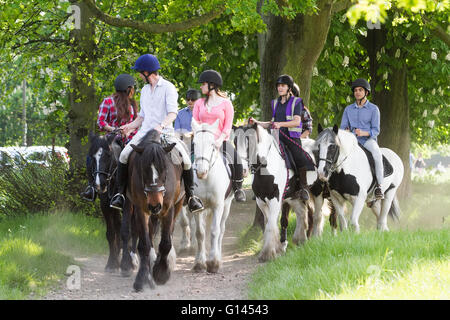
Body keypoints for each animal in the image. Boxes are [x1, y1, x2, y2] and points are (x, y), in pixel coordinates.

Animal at [126, 129, 185, 290]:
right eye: (143, 170)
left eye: (164, 169)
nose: (155, 205)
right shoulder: (141, 210)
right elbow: (144, 244)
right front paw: (142, 278)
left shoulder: (168, 209)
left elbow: (165, 243)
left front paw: (161, 273)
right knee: (151, 234)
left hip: (178, 205)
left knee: (169, 232)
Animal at [190, 119, 234, 274]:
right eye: (194, 143)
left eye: (212, 144)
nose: (201, 171)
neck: (207, 178)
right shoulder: (197, 208)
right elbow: (200, 233)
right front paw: (199, 263)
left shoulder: (217, 206)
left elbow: (215, 231)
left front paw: (213, 263)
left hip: (227, 206)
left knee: (221, 230)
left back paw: (218, 257)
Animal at [232, 122, 320, 260]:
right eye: (235, 141)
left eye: (250, 141)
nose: (243, 170)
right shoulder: (261, 201)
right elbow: (269, 223)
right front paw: (277, 248)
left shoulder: (276, 199)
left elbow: (272, 225)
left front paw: (268, 253)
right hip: (294, 197)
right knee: (303, 213)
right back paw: (302, 239)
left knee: (320, 212)